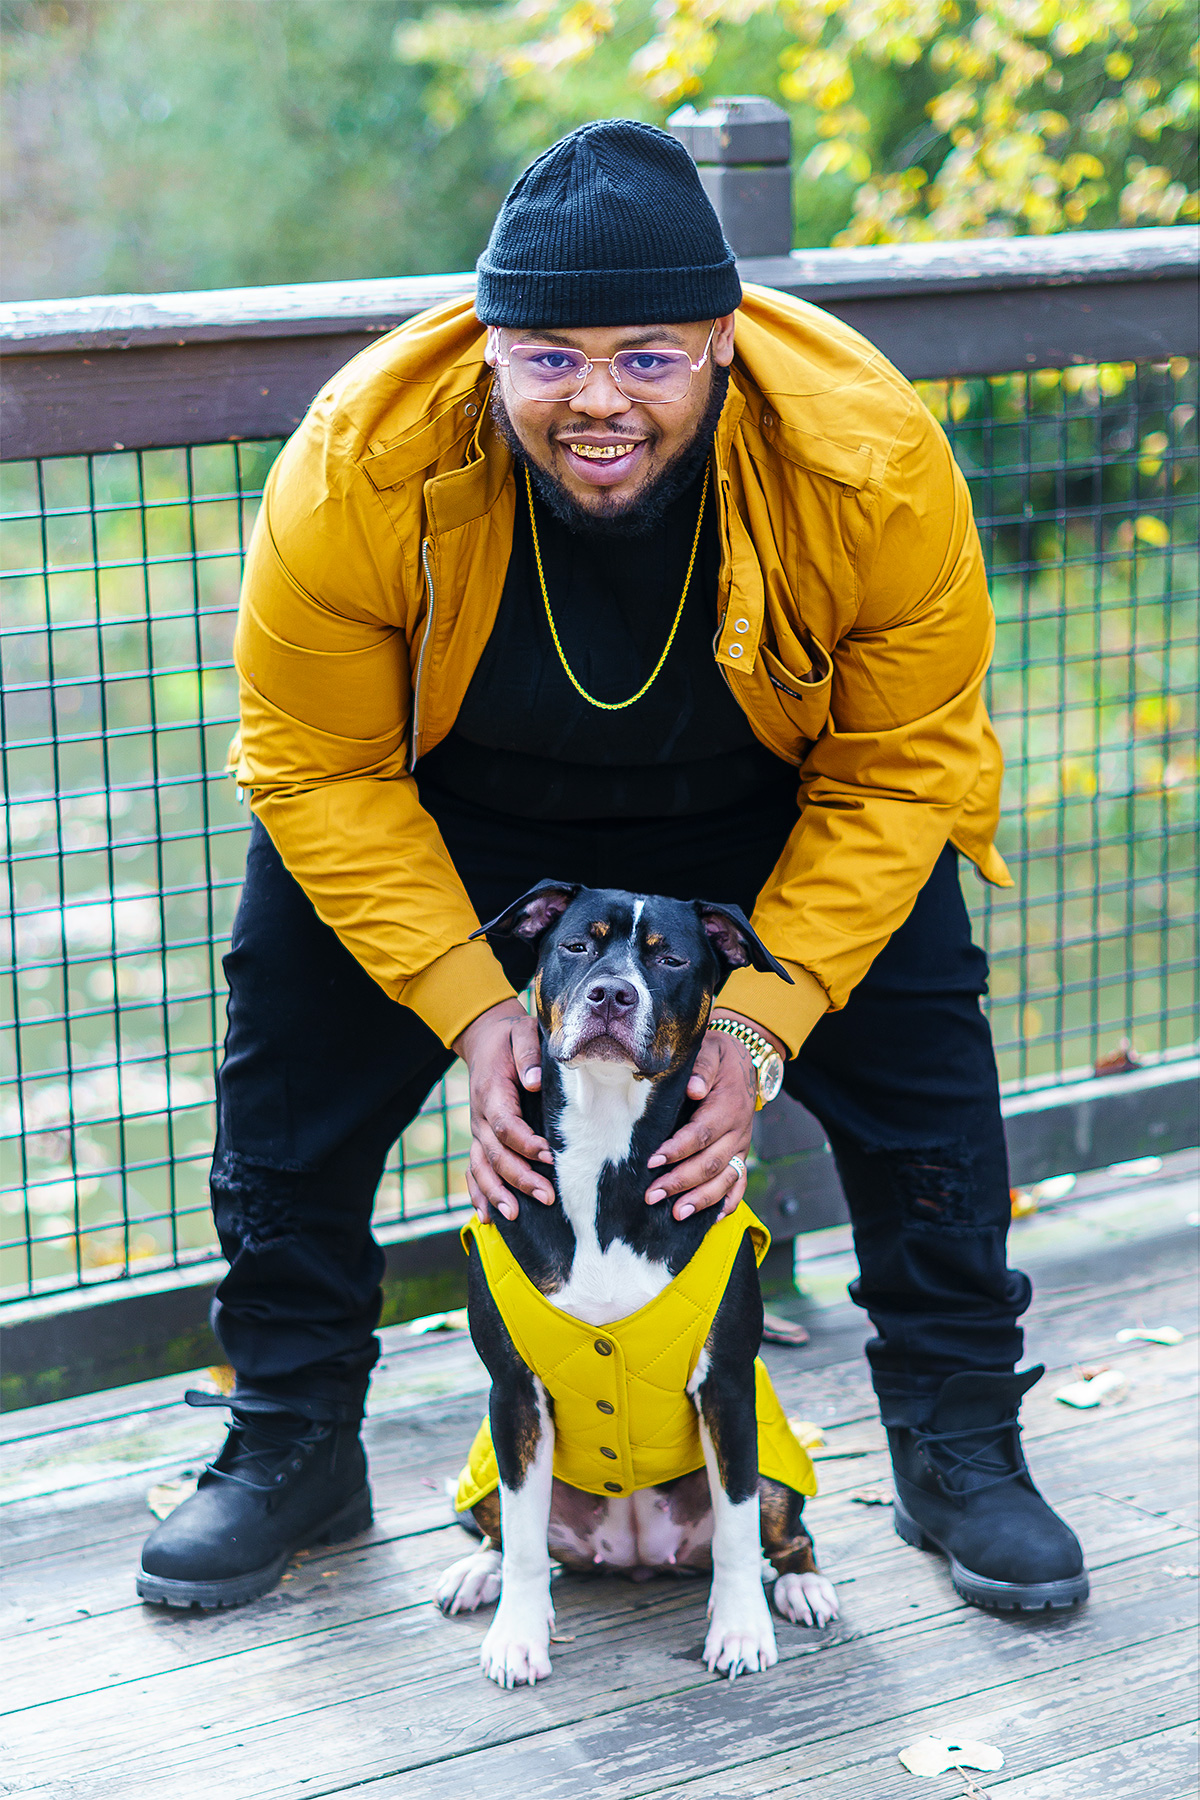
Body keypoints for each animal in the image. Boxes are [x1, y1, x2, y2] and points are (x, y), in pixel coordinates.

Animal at [437, 885, 841, 1684]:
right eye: (576, 946)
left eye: (671, 959)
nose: (612, 993)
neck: (604, 1149)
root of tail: (638, 1556)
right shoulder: (513, 1395)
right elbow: (524, 1542)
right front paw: (518, 1636)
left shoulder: (729, 1391)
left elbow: (737, 1531)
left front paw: (741, 1629)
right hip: (492, 1462)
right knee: (501, 1530)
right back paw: (478, 1573)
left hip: (774, 1464)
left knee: (782, 1532)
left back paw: (802, 1587)